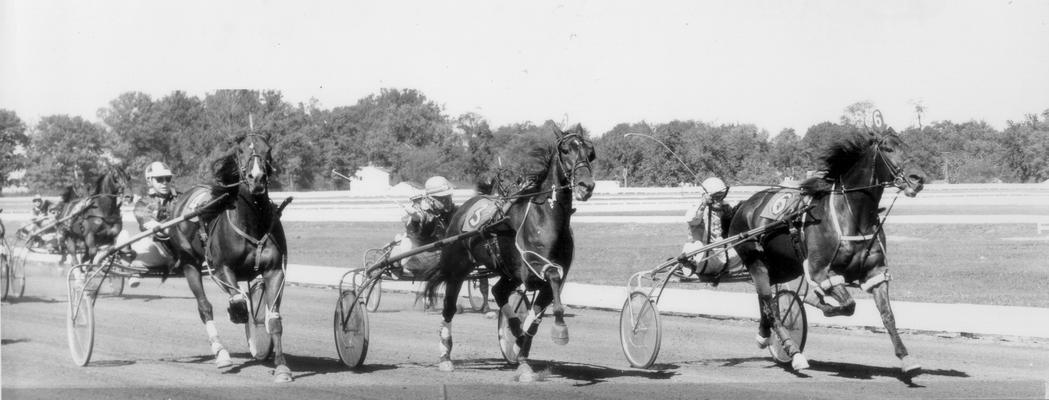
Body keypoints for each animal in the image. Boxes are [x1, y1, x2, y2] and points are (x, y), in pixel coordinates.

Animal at [167, 133, 291, 380]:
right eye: (241, 150)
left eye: (268, 149)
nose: (257, 178)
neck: (253, 222)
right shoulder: (222, 268)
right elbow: (239, 302)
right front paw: (238, 314)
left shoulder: (274, 271)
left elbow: (273, 318)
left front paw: (281, 366)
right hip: (190, 264)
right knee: (204, 307)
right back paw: (221, 353)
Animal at [421, 124, 595, 380]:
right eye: (565, 150)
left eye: (590, 153)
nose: (586, 186)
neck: (545, 219)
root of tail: (463, 208)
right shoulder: (534, 268)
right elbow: (552, 279)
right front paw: (560, 330)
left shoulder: (542, 280)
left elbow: (536, 317)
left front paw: (523, 355)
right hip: (457, 269)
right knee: (450, 307)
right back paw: (445, 357)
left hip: (507, 272)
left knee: (498, 291)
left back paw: (515, 333)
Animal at [725, 121, 923, 373]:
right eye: (888, 148)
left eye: (906, 146)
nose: (918, 178)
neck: (851, 215)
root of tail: (744, 205)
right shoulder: (820, 271)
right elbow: (847, 304)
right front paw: (816, 300)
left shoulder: (875, 272)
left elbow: (887, 314)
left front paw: (906, 357)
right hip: (755, 260)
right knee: (770, 304)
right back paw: (793, 350)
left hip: (782, 266)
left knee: (766, 301)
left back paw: (764, 335)